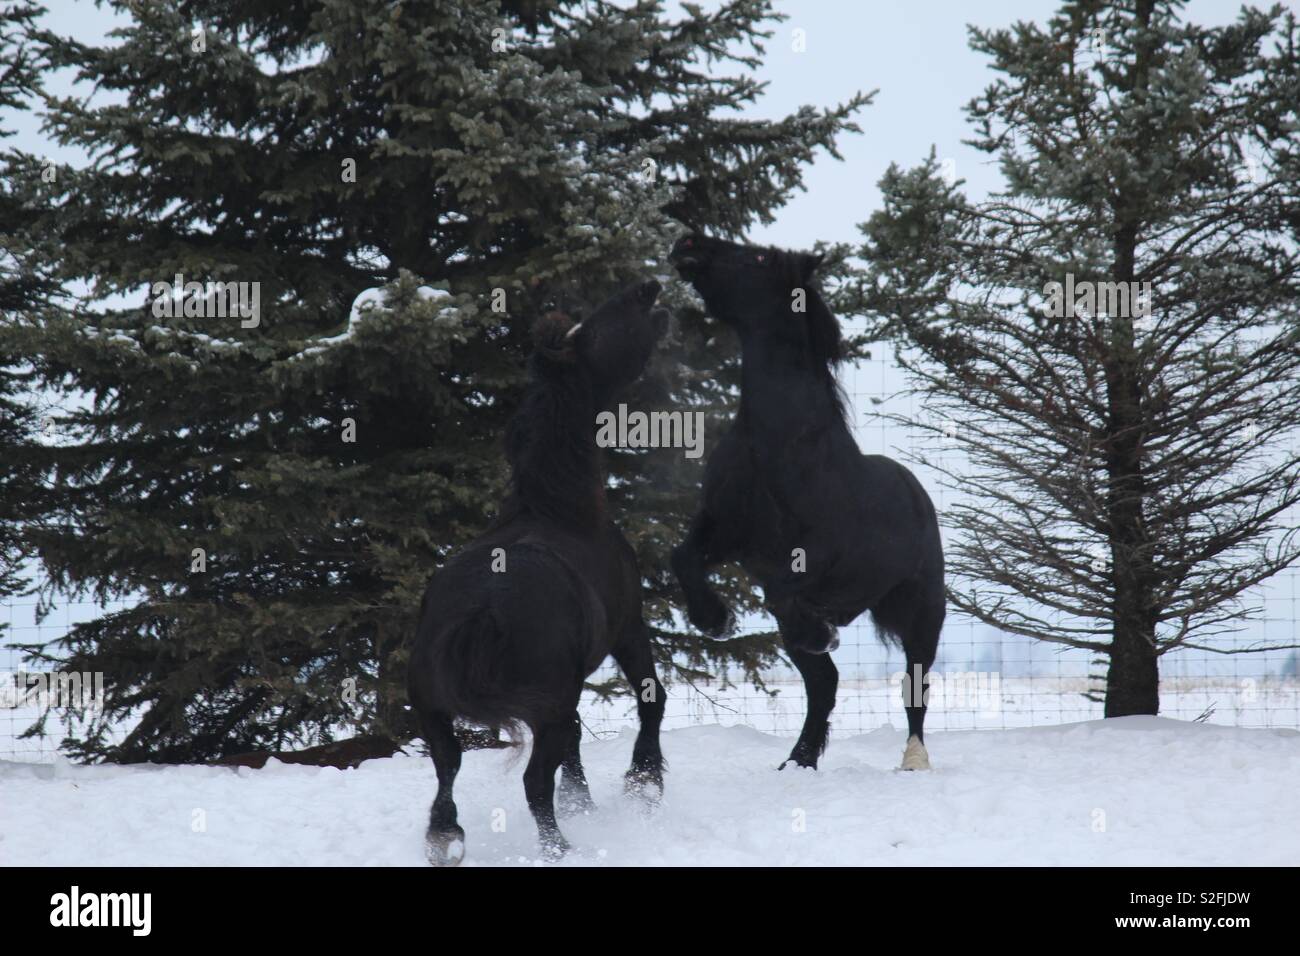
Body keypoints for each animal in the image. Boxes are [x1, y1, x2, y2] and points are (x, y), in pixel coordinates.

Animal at [405, 278, 670, 868]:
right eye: (593, 326)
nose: (649, 289)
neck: (558, 508)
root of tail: (482, 610)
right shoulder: (629, 626)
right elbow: (652, 698)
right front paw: (644, 784)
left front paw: (590, 802)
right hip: (544, 706)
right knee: (533, 781)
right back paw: (560, 848)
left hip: (434, 711)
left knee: (448, 769)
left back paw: (446, 839)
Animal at [670, 235, 946, 775]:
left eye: (757, 257)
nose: (687, 244)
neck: (775, 447)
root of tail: (916, 492)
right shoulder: (724, 533)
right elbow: (684, 558)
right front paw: (715, 620)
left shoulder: (813, 554)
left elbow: (783, 586)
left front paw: (821, 633)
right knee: (824, 685)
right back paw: (797, 761)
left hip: (924, 611)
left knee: (915, 687)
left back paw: (913, 760)